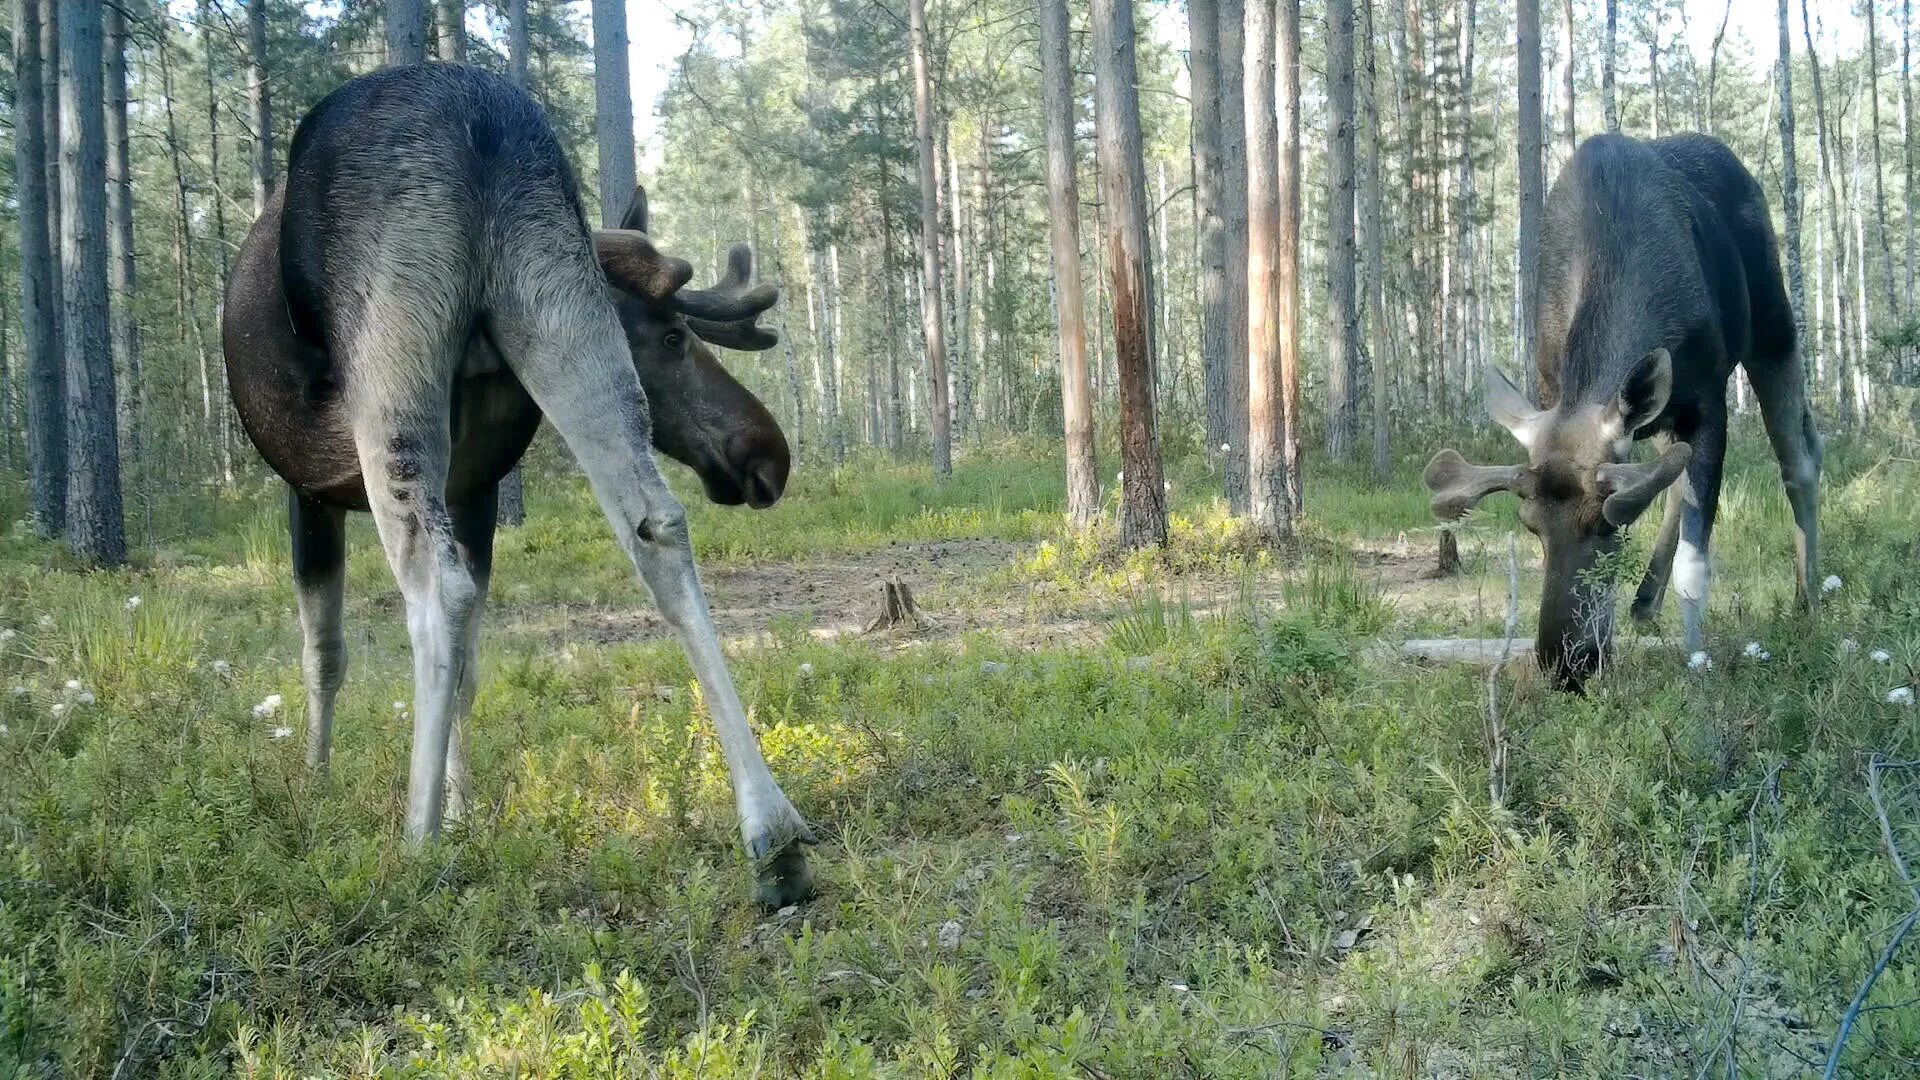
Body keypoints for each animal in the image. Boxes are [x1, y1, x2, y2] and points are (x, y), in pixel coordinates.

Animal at [222, 65, 817, 899]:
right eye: (672, 337)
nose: (769, 453)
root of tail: (483, 122)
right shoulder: (475, 487)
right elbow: (470, 665)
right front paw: (465, 806)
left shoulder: (306, 490)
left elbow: (325, 653)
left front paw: (323, 784)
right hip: (557, 297)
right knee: (657, 526)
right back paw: (774, 831)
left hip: (393, 350)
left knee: (434, 585)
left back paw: (414, 843)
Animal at [1428, 134, 1812, 687]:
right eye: (1531, 526)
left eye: (1608, 523)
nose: (1567, 663)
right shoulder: (1557, 391)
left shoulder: (1708, 401)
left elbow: (1696, 562)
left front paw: (1698, 665)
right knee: (1677, 478)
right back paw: (1645, 601)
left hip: (1773, 325)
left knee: (1799, 461)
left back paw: (1809, 599)